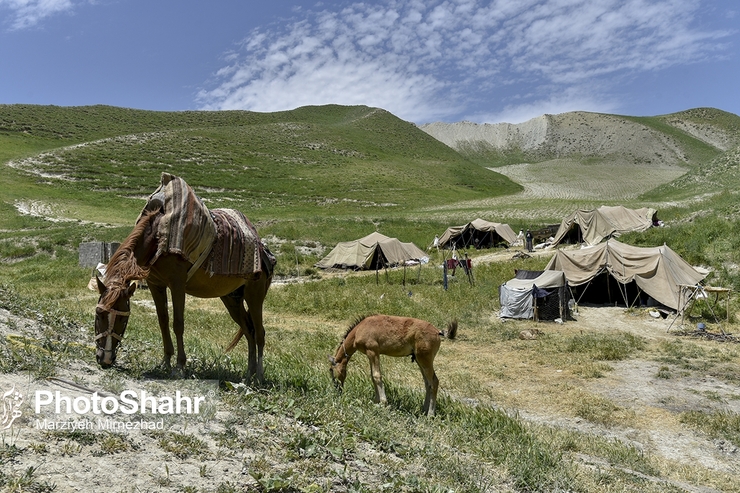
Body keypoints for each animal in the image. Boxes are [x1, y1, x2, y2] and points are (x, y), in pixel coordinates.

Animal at [94, 209, 274, 382]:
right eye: (98, 314)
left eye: (122, 319)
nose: (105, 358)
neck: (157, 241)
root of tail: (264, 252)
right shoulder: (155, 285)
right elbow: (163, 321)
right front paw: (165, 362)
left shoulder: (177, 285)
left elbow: (178, 324)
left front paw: (180, 366)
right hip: (232, 299)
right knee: (249, 331)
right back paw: (249, 374)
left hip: (254, 295)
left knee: (259, 333)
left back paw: (259, 377)